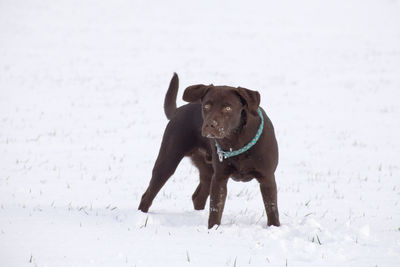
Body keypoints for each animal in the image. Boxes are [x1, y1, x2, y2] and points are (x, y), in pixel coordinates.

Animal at [139, 74, 280, 229]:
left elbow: (272, 209)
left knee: (197, 197)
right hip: (168, 161)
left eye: (228, 108)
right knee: (147, 195)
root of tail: (178, 110)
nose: (209, 125)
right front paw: (213, 229)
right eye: (206, 106)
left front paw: (274, 227)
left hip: (207, 171)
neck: (235, 141)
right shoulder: (219, 178)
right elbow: (215, 208)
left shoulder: (267, 178)